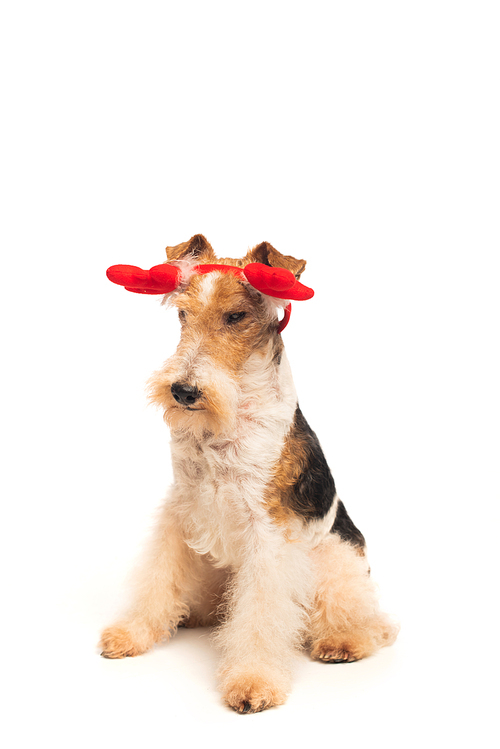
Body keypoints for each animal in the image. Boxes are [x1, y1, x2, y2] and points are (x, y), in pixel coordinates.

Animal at [100, 234, 398, 712]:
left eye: (236, 316)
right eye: (182, 314)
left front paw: (253, 682)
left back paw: (344, 641)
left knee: (371, 622)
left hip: (336, 558)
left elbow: (261, 615)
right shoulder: (181, 507)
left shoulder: (268, 530)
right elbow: (158, 577)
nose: (183, 391)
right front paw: (132, 633)